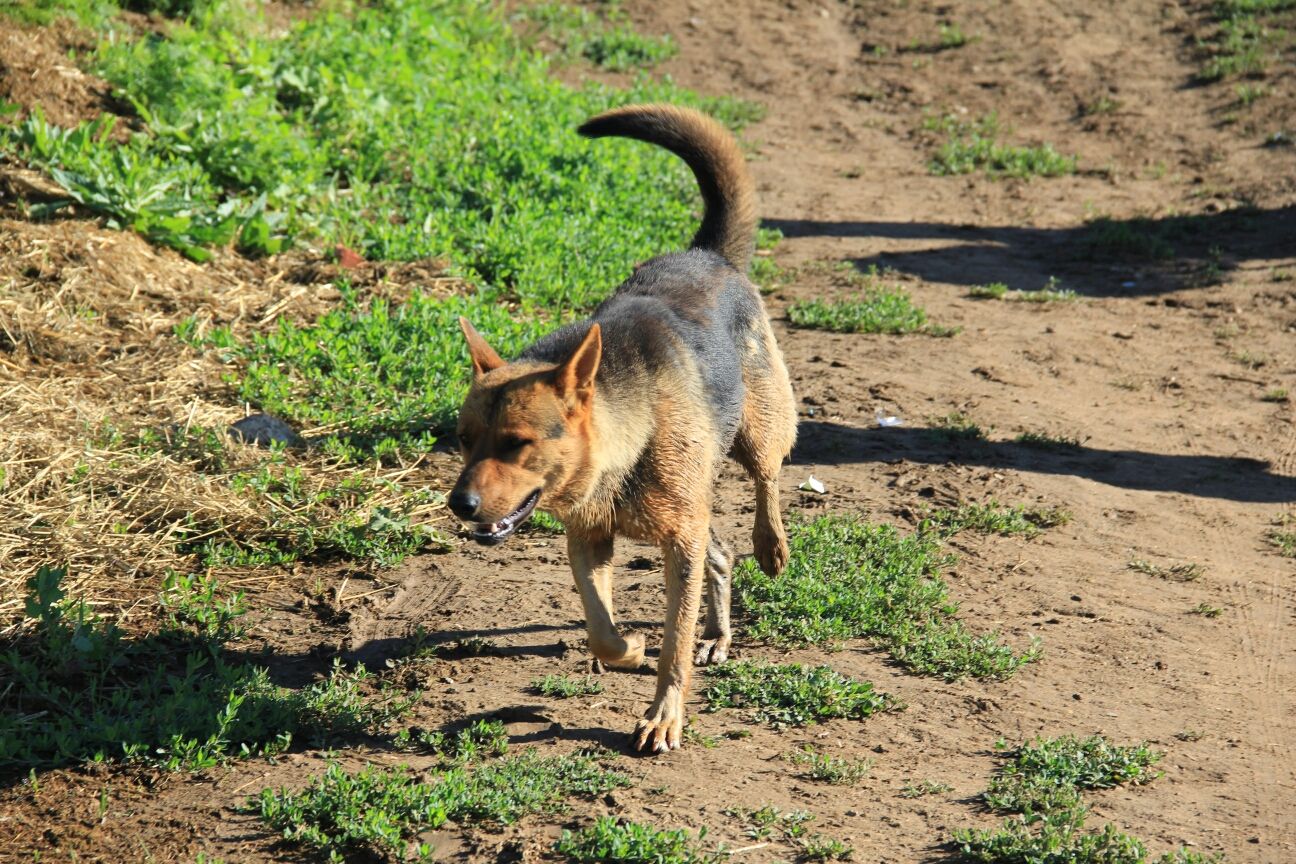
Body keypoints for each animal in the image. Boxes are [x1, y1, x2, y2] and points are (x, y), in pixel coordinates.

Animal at [451, 102, 793, 751]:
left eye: (517, 443)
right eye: (462, 442)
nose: (460, 504)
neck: (628, 444)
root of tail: (707, 253)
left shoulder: (678, 544)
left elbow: (674, 645)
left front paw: (664, 715)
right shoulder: (590, 537)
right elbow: (602, 627)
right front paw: (629, 649)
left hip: (758, 428)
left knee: (767, 481)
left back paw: (771, 545)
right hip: (698, 504)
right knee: (721, 553)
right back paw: (718, 633)